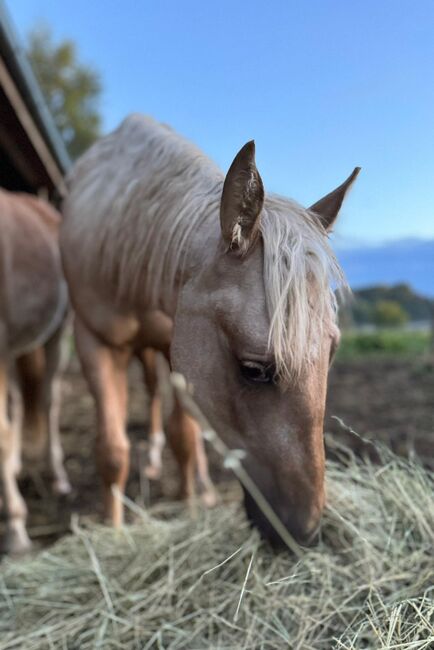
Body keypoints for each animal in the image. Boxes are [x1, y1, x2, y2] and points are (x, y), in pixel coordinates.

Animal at [61, 115, 360, 540]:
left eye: (332, 351)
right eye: (253, 369)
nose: (305, 532)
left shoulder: (173, 344)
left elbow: (185, 438)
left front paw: (190, 505)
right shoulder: (94, 341)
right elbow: (113, 452)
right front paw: (114, 529)